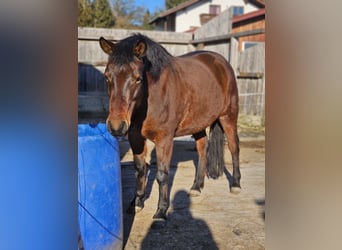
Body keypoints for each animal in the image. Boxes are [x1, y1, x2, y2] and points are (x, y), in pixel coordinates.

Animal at [99, 33, 240, 221]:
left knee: (234, 148)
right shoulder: (135, 137)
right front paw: (137, 203)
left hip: (228, 117)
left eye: (138, 78)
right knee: (203, 149)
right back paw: (196, 187)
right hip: (198, 123)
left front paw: (161, 210)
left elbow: (162, 174)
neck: (150, 98)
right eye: (107, 76)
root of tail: (221, 62)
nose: (116, 126)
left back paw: (236, 184)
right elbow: (140, 170)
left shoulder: (164, 139)